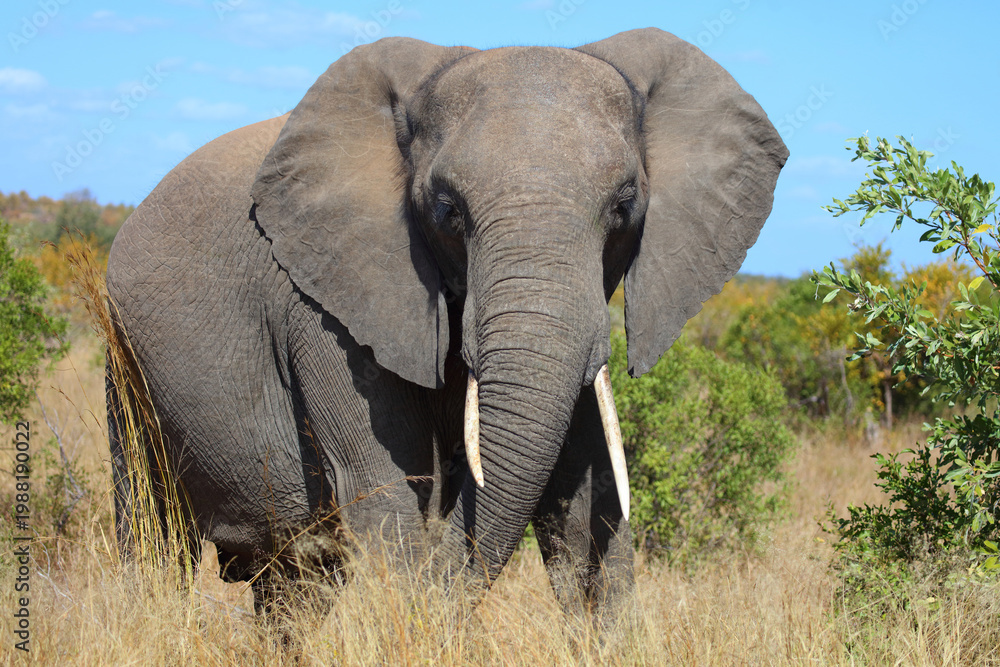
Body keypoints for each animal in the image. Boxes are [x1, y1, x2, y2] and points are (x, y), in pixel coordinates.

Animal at [105, 28, 787, 620]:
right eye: (447, 209)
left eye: (624, 206)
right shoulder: (318, 302)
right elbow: (386, 496)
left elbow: (579, 497)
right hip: (125, 360)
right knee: (153, 532)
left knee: (292, 593)